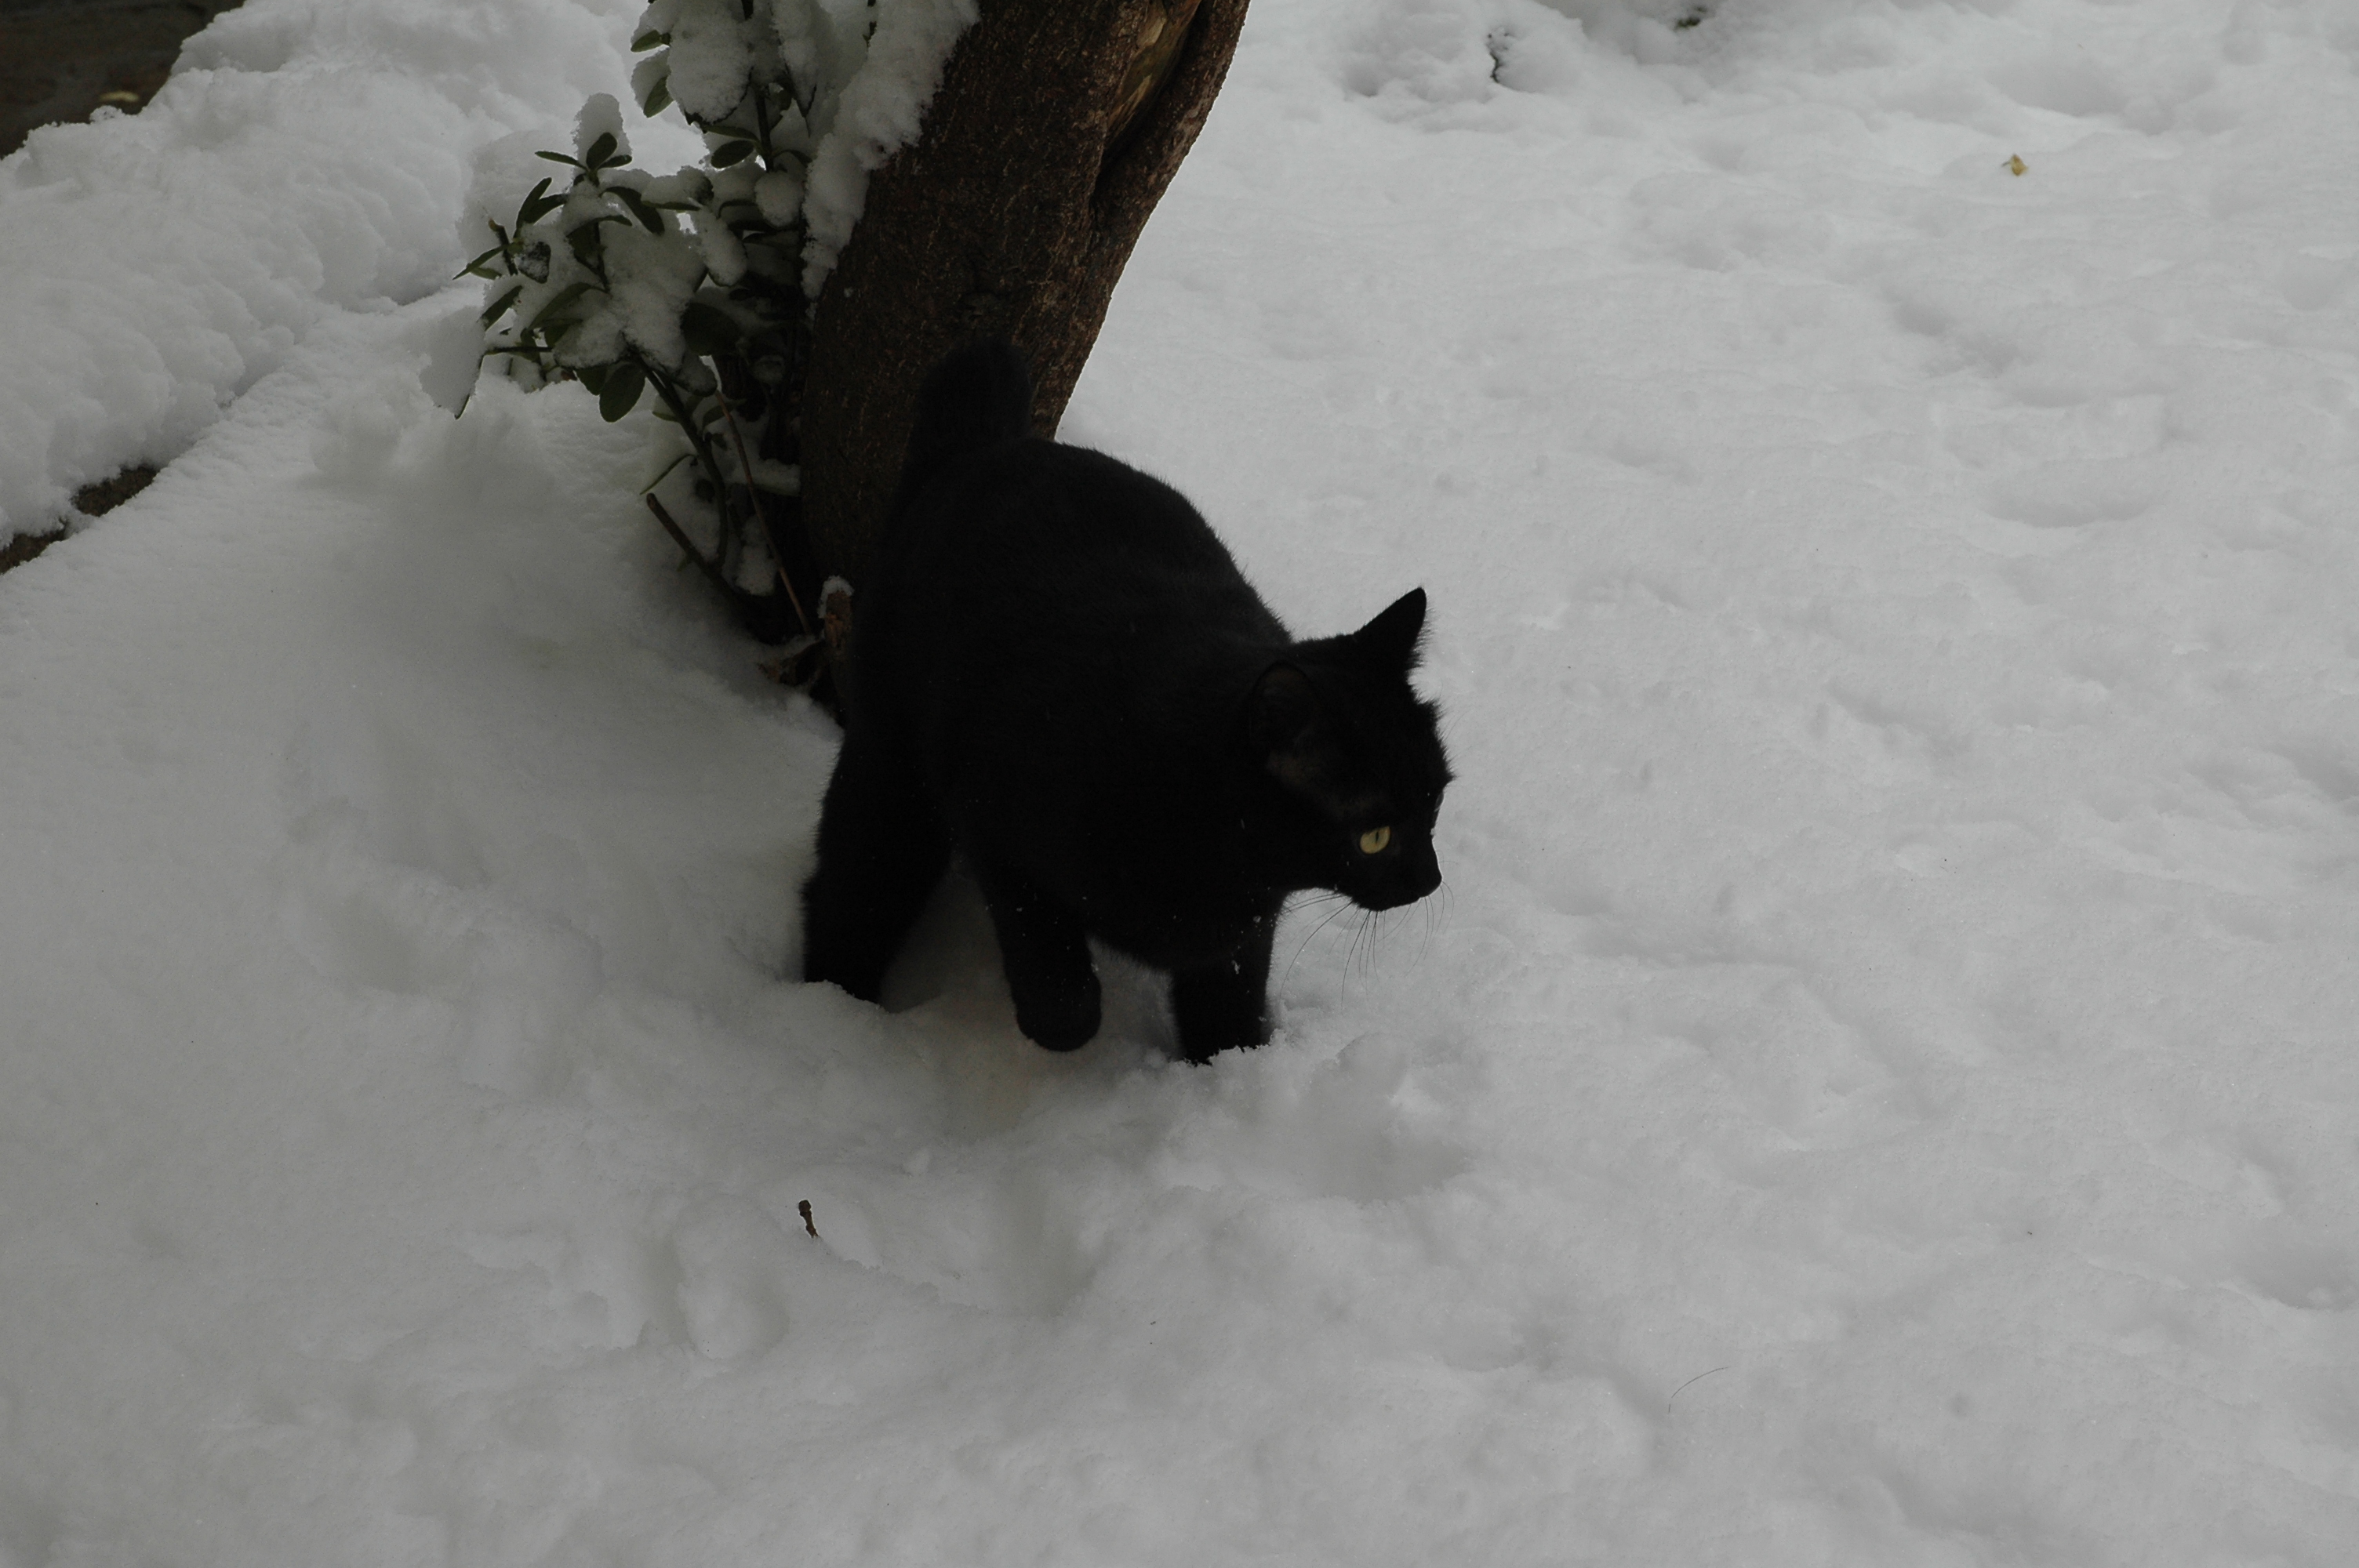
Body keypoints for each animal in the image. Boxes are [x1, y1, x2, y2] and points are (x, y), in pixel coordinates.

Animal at [801, 337, 1443, 1056]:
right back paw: (829, 1009)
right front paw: (1062, 1021)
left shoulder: (1239, 938)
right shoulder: (999, 833)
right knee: (847, 891)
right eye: (1375, 836)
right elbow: (1060, 1000)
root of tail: (987, 449)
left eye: (1436, 801)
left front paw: (1229, 1070)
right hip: (892, 779)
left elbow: (1229, 1013)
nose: (1430, 879)